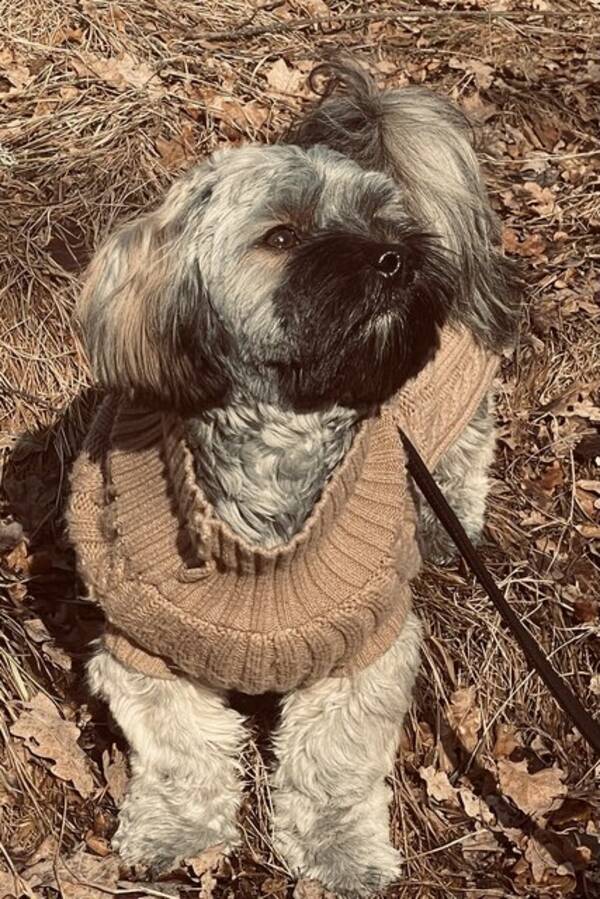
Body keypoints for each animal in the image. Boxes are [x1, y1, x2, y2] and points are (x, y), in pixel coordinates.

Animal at [70, 63, 516, 899]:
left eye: (378, 222)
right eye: (281, 236)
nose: (394, 257)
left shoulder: (365, 649)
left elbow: (334, 762)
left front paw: (340, 851)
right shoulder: (143, 651)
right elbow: (182, 750)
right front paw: (179, 831)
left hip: (456, 403)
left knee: (469, 453)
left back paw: (446, 523)